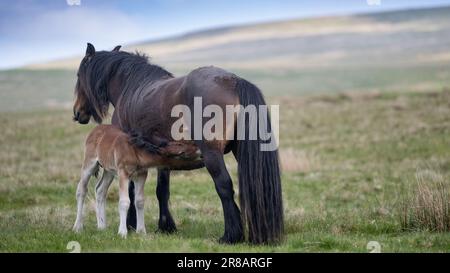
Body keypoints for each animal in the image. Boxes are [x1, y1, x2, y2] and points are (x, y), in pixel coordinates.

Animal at [72, 43, 284, 243]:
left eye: (78, 75)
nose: (77, 113)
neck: (131, 87)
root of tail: (234, 81)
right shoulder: (161, 156)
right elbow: (162, 190)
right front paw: (166, 226)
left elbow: (132, 191)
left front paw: (131, 225)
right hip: (240, 152)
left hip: (212, 154)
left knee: (224, 186)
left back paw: (230, 236)